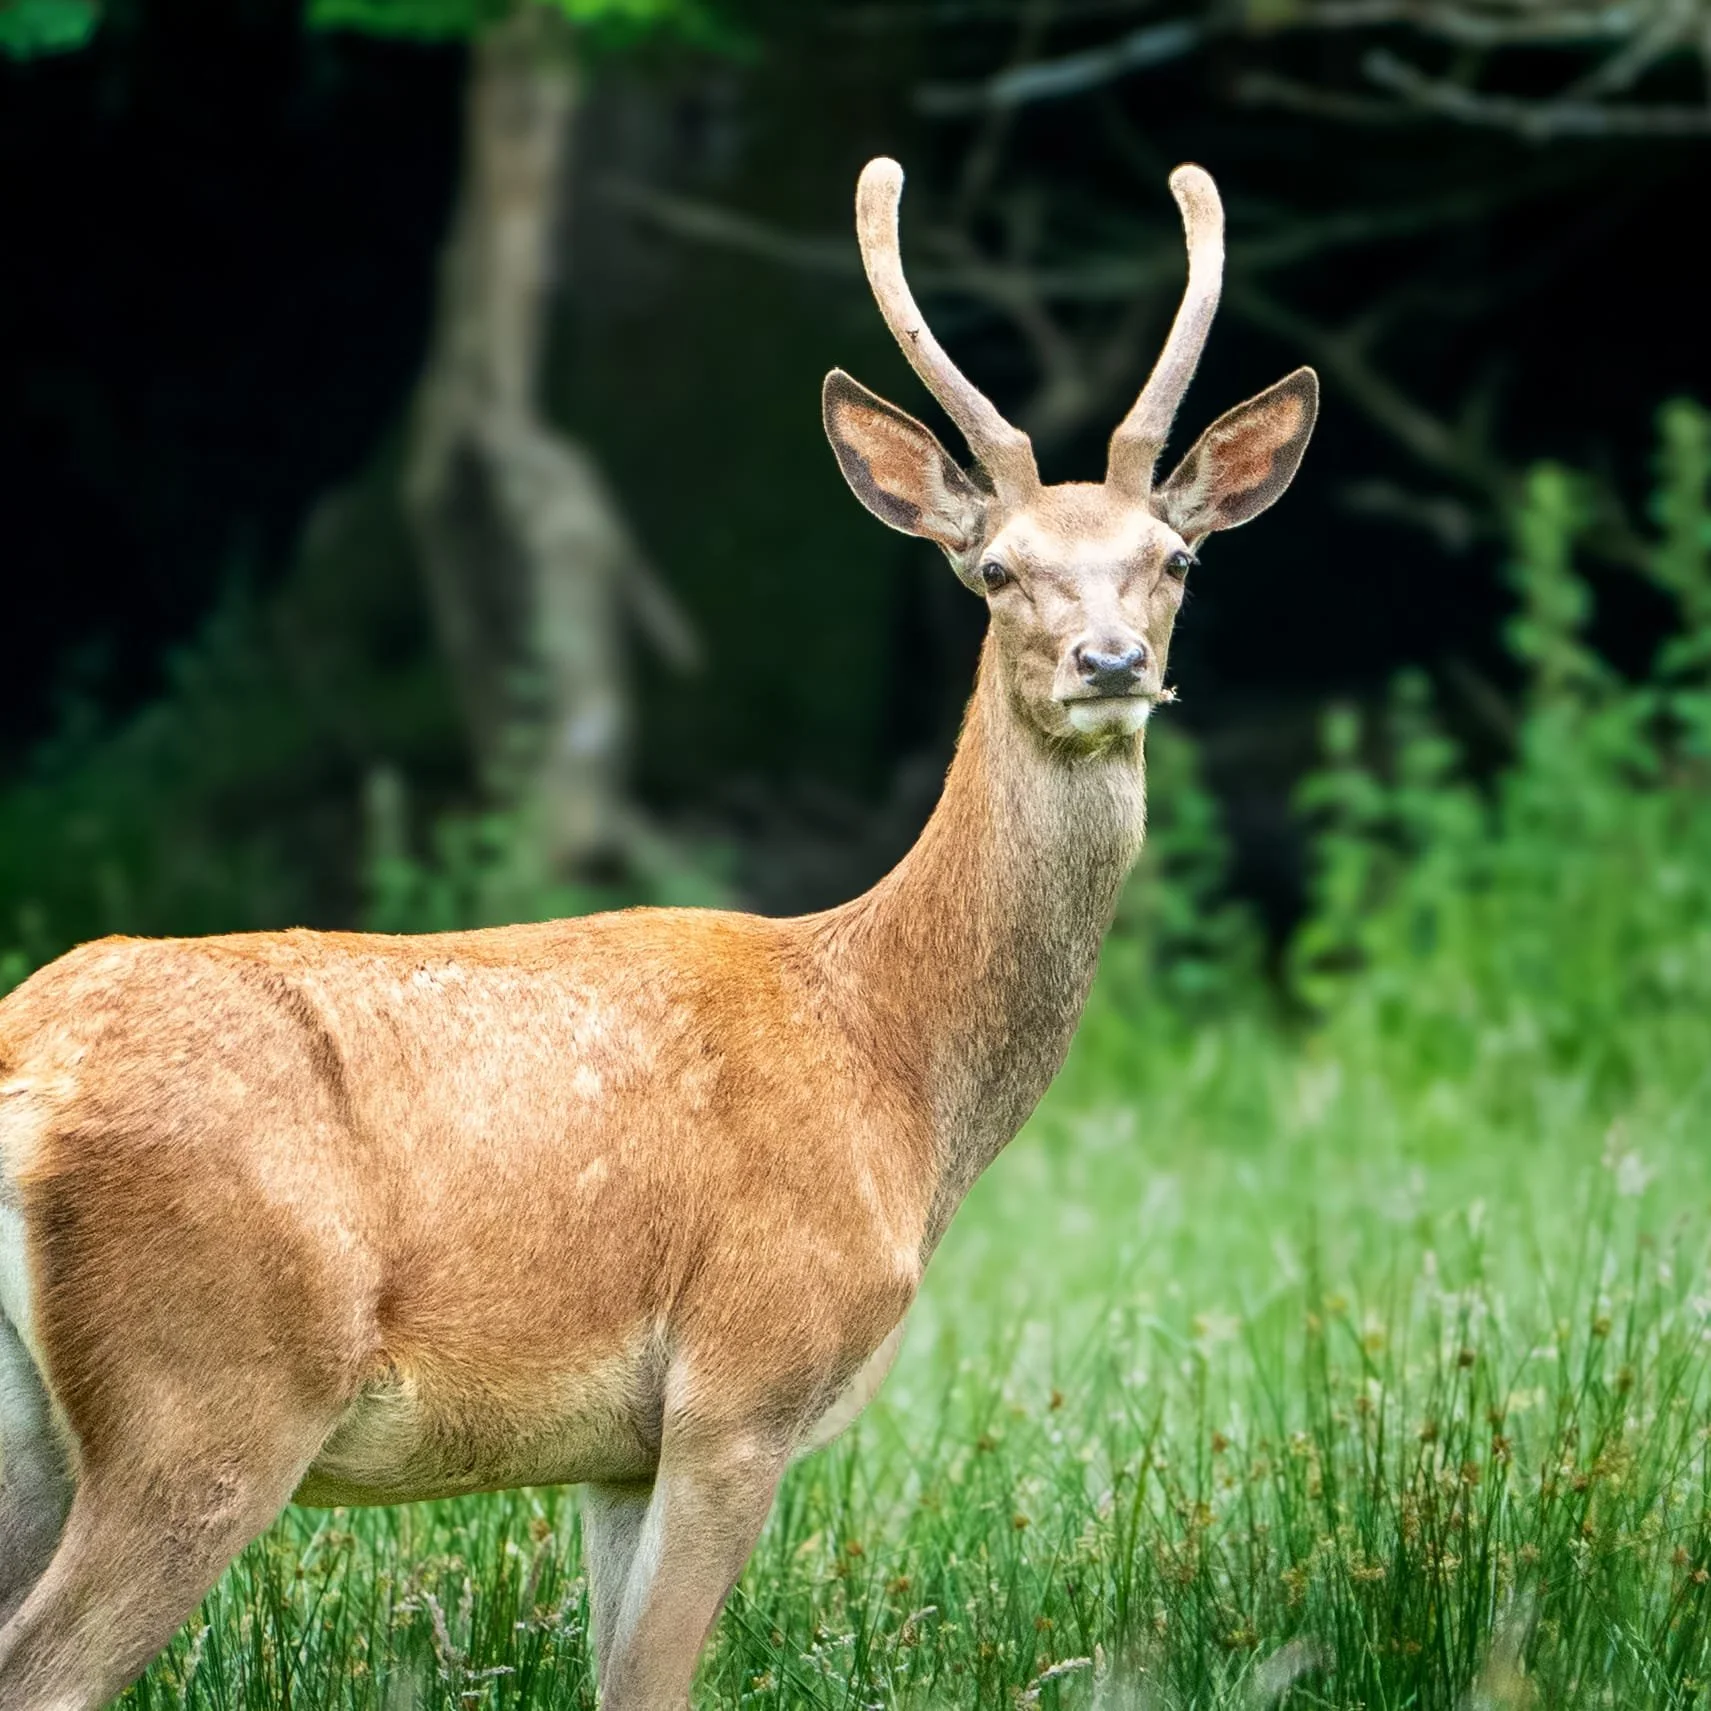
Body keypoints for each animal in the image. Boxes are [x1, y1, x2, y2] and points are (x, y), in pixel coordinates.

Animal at [0, 156, 1314, 1710]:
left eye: (1173, 559)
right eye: (992, 569)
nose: (1108, 663)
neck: (894, 1066)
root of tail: (26, 1071)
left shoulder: (619, 1453)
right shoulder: (746, 1374)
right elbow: (656, 1679)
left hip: (51, 1419)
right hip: (213, 1384)